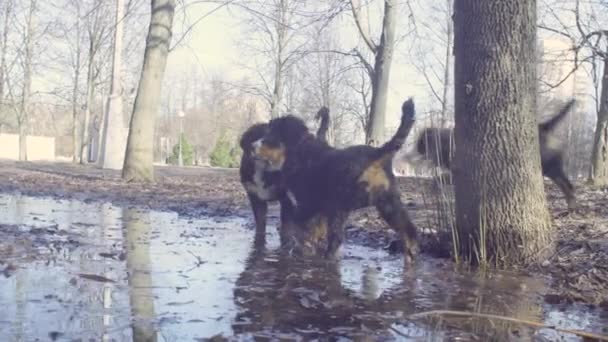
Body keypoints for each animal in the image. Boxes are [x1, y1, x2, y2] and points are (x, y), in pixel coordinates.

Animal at [240, 108, 330, 242]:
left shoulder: (286, 199)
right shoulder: (255, 197)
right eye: (257, 136)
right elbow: (260, 224)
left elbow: (287, 227)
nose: (252, 146)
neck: (264, 169)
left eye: (271, 137)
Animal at [252, 99, 418, 262]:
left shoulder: (306, 205)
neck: (301, 151)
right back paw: (410, 257)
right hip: (389, 204)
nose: (252, 146)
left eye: (270, 136)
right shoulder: (319, 209)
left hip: (340, 206)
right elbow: (312, 233)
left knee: (336, 239)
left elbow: (302, 232)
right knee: (409, 231)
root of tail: (377, 154)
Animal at [408, 100, 576, 208]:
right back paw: (571, 205)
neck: (445, 142)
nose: (417, 149)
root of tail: (544, 126)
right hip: (551, 168)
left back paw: (572, 205)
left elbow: (438, 179)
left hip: (549, 167)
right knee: (567, 185)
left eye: (422, 142)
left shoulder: (459, 173)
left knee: (567, 185)